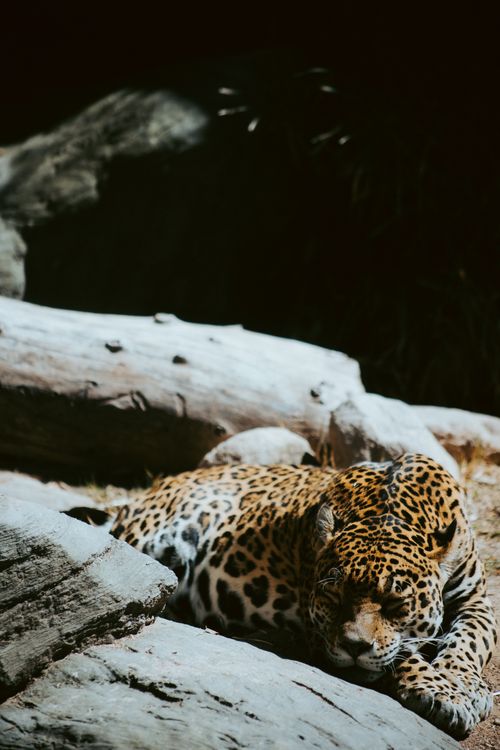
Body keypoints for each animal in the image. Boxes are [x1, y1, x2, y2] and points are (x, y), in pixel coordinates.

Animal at [99, 452, 496, 739]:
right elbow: (401, 654)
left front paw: (464, 685)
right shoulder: (316, 626)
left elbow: (472, 640)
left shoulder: (476, 600)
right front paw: (443, 693)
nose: (354, 647)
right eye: (333, 598)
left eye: (395, 604)